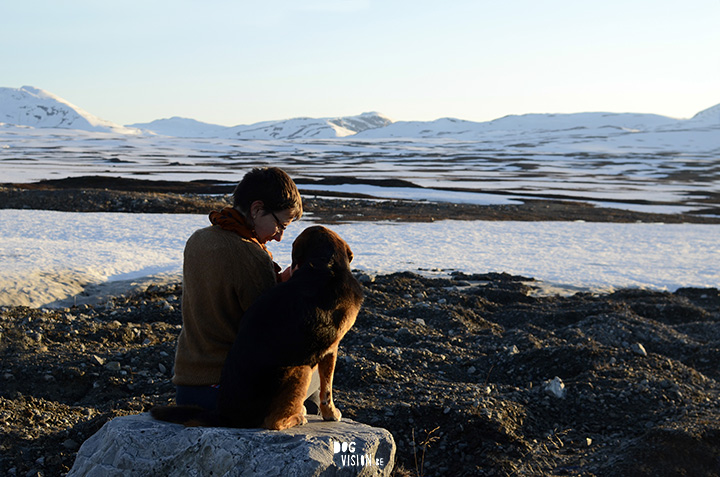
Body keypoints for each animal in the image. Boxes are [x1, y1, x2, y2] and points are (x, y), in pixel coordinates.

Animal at [153, 225, 366, 430]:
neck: (323, 263)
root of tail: (225, 415)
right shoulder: (331, 349)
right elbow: (327, 388)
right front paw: (331, 413)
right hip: (300, 368)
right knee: (273, 422)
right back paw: (297, 417)